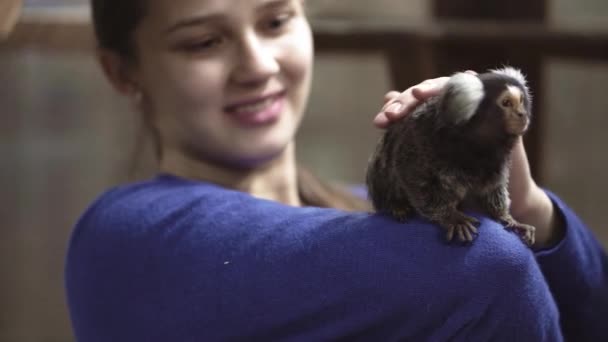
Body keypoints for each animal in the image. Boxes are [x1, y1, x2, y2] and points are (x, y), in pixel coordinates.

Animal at [366, 67, 532, 244]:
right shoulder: (419, 140)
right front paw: (452, 217)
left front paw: (506, 217)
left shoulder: (497, 161)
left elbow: (493, 188)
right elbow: (413, 180)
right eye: (506, 103)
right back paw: (395, 205)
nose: (522, 114)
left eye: (521, 100)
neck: (475, 145)